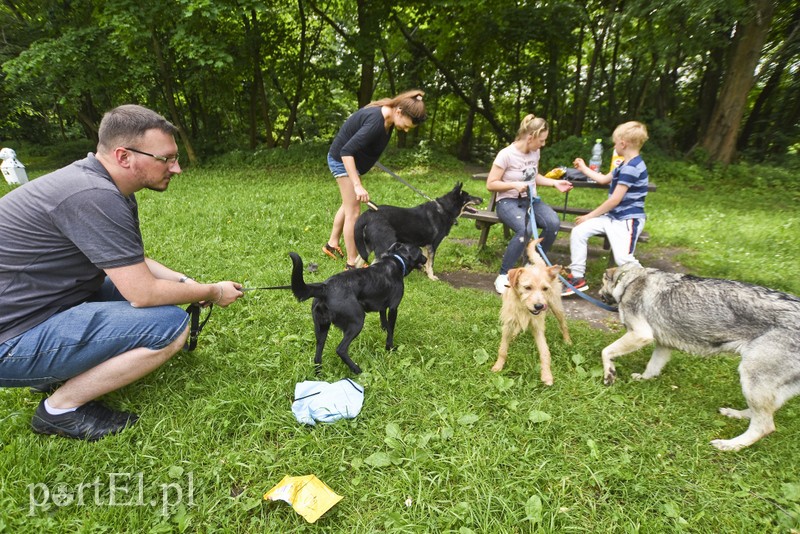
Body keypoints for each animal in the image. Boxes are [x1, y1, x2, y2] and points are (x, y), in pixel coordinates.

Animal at [290, 244, 428, 376]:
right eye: (421, 253)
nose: (426, 259)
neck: (397, 260)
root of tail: (324, 288)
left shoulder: (382, 306)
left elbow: (384, 321)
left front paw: (383, 330)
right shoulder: (393, 307)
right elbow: (391, 331)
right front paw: (390, 348)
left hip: (321, 328)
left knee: (317, 357)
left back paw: (319, 375)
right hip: (356, 322)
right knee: (340, 349)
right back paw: (357, 370)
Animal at [354, 183, 482, 282]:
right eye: (468, 196)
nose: (482, 199)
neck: (444, 209)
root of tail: (368, 214)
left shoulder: (426, 246)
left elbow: (426, 261)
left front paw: (424, 272)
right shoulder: (433, 245)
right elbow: (431, 263)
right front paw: (431, 277)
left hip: (368, 245)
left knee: (357, 262)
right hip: (384, 245)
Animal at [490, 241, 572, 388]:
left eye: (545, 288)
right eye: (527, 287)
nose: (539, 306)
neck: (524, 308)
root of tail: (540, 265)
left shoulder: (538, 328)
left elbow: (545, 352)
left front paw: (547, 375)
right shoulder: (508, 324)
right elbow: (503, 349)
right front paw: (498, 366)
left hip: (556, 307)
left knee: (563, 325)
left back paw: (567, 341)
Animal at [600, 264, 800, 452]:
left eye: (602, 282)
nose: (599, 294)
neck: (630, 279)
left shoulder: (640, 335)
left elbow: (606, 351)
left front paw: (609, 374)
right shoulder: (663, 346)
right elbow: (652, 367)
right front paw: (643, 379)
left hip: (752, 376)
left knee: (765, 426)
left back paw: (730, 445)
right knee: (764, 413)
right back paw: (736, 414)